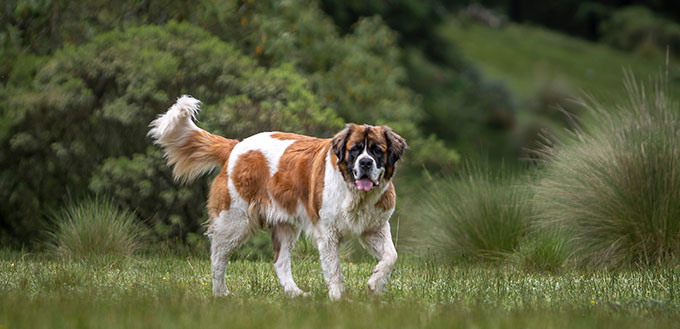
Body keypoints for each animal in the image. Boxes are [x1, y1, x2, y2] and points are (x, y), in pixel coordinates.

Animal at [149, 95, 404, 300]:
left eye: (377, 150)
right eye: (355, 150)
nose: (365, 162)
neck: (355, 193)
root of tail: (235, 147)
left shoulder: (375, 227)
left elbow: (391, 255)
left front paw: (375, 284)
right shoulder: (328, 234)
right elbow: (334, 270)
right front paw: (339, 299)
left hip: (285, 225)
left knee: (279, 262)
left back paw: (295, 293)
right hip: (234, 222)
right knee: (218, 258)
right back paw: (221, 293)